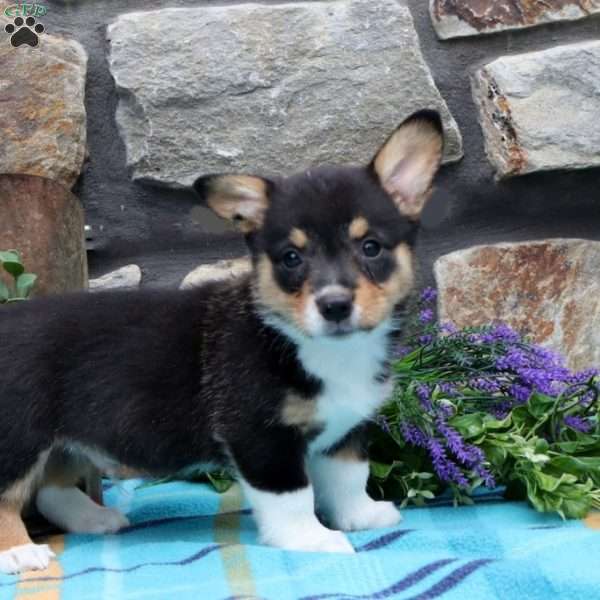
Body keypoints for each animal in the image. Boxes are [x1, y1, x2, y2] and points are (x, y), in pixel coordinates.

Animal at [0, 110, 440, 576]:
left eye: (371, 247)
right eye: (291, 258)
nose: (334, 305)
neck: (317, 349)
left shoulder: (347, 430)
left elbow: (350, 478)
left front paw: (363, 516)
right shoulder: (261, 437)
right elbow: (293, 496)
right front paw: (312, 539)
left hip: (63, 440)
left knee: (50, 489)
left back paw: (95, 519)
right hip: (19, 436)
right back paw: (18, 552)